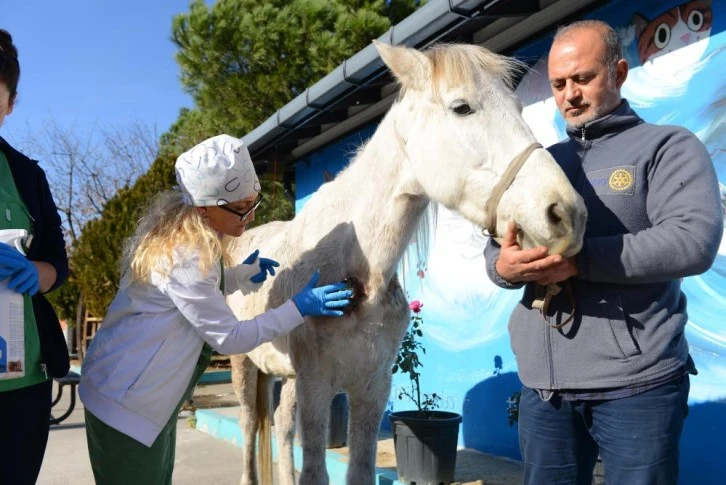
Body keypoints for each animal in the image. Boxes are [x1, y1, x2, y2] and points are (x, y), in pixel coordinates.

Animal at [230, 42, 588, 484]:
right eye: (461, 107)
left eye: (519, 107)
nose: (566, 213)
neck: (358, 268)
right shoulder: (317, 385)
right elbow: (315, 472)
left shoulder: (371, 388)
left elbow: (359, 471)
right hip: (246, 365)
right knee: (250, 425)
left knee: (280, 424)